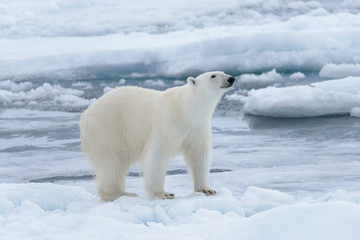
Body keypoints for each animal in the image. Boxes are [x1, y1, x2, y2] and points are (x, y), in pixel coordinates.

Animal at [80, 71, 235, 201]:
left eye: (223, 72)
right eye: (213, 75)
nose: (231, 78)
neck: (186, 108)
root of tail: (85, 114)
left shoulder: (198, 127)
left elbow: (199, 154)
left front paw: (207, 190)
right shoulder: (168, 121)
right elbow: (158, 154)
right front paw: (163, 194)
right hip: (107, 128)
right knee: (111, 161)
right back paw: (117, 193)